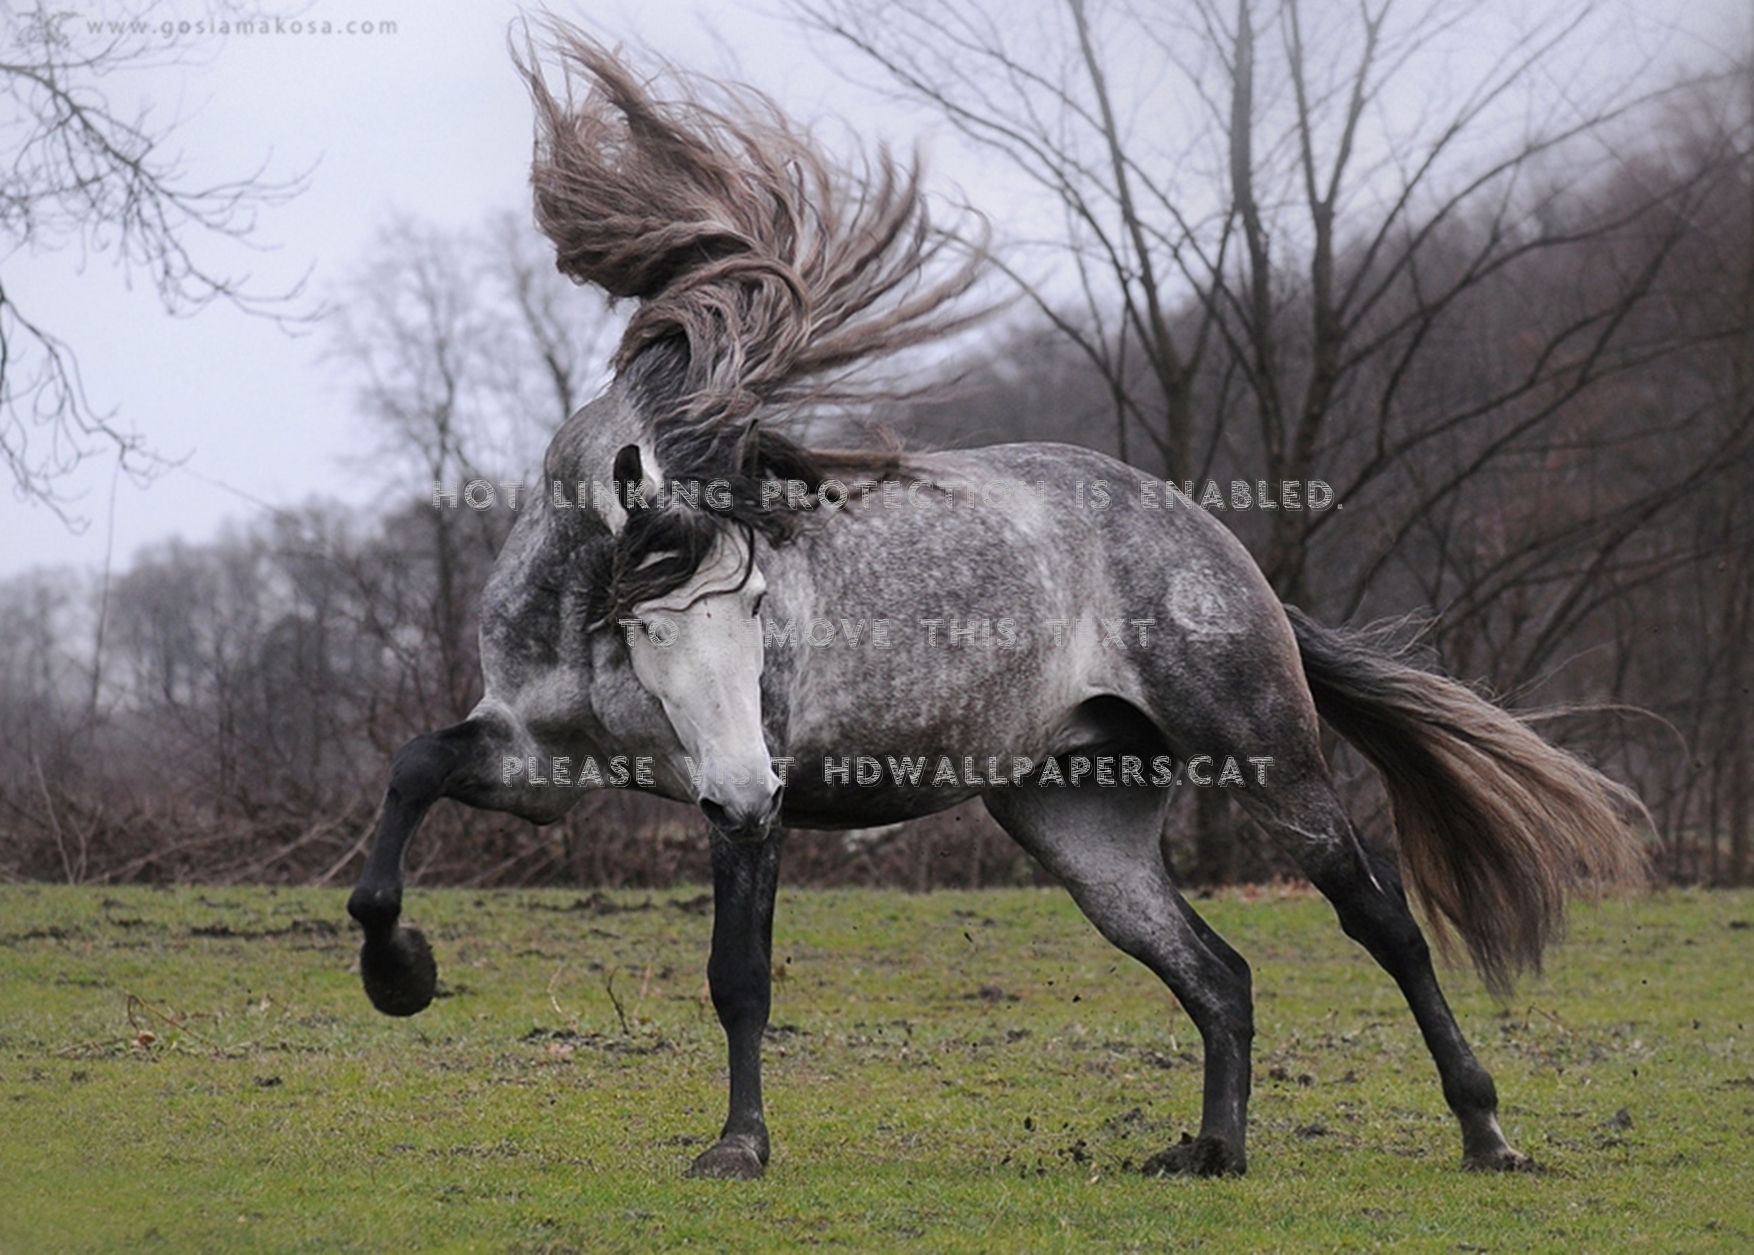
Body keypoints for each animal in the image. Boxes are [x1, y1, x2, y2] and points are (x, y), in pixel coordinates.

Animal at [344, 26, 1645, 1181]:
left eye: (760, 611)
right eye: (651, 623)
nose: (746, 785)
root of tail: (1211, 541)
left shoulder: (740, 811)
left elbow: (739, 977)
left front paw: (737, 1146)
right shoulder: (539, 768)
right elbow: (411, 772)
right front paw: (398, 970)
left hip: (1267, 762)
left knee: (1382, 924)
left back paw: (1483, 1130)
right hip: (1078, 822)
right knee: (1215, 971)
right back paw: (1212, 1152)